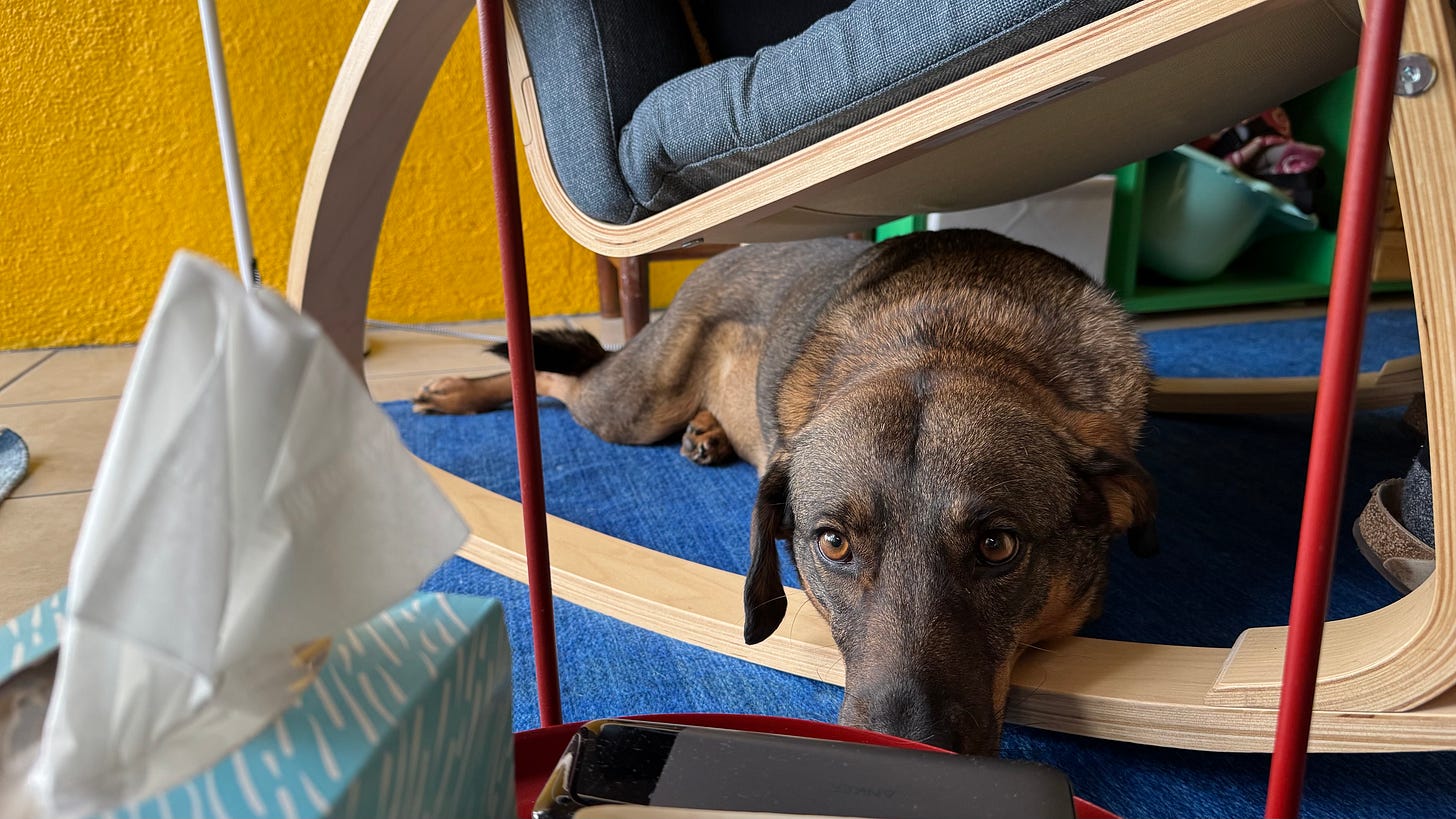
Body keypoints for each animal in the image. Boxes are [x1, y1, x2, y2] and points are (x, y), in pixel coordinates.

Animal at [416, 230, 1153, 751]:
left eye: (998, 545)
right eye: (833, 544)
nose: (908, 746)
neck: (957, 337)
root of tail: (729, 252)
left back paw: (708, 430)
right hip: (631, 405)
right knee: (557, 374)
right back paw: (460, 390)